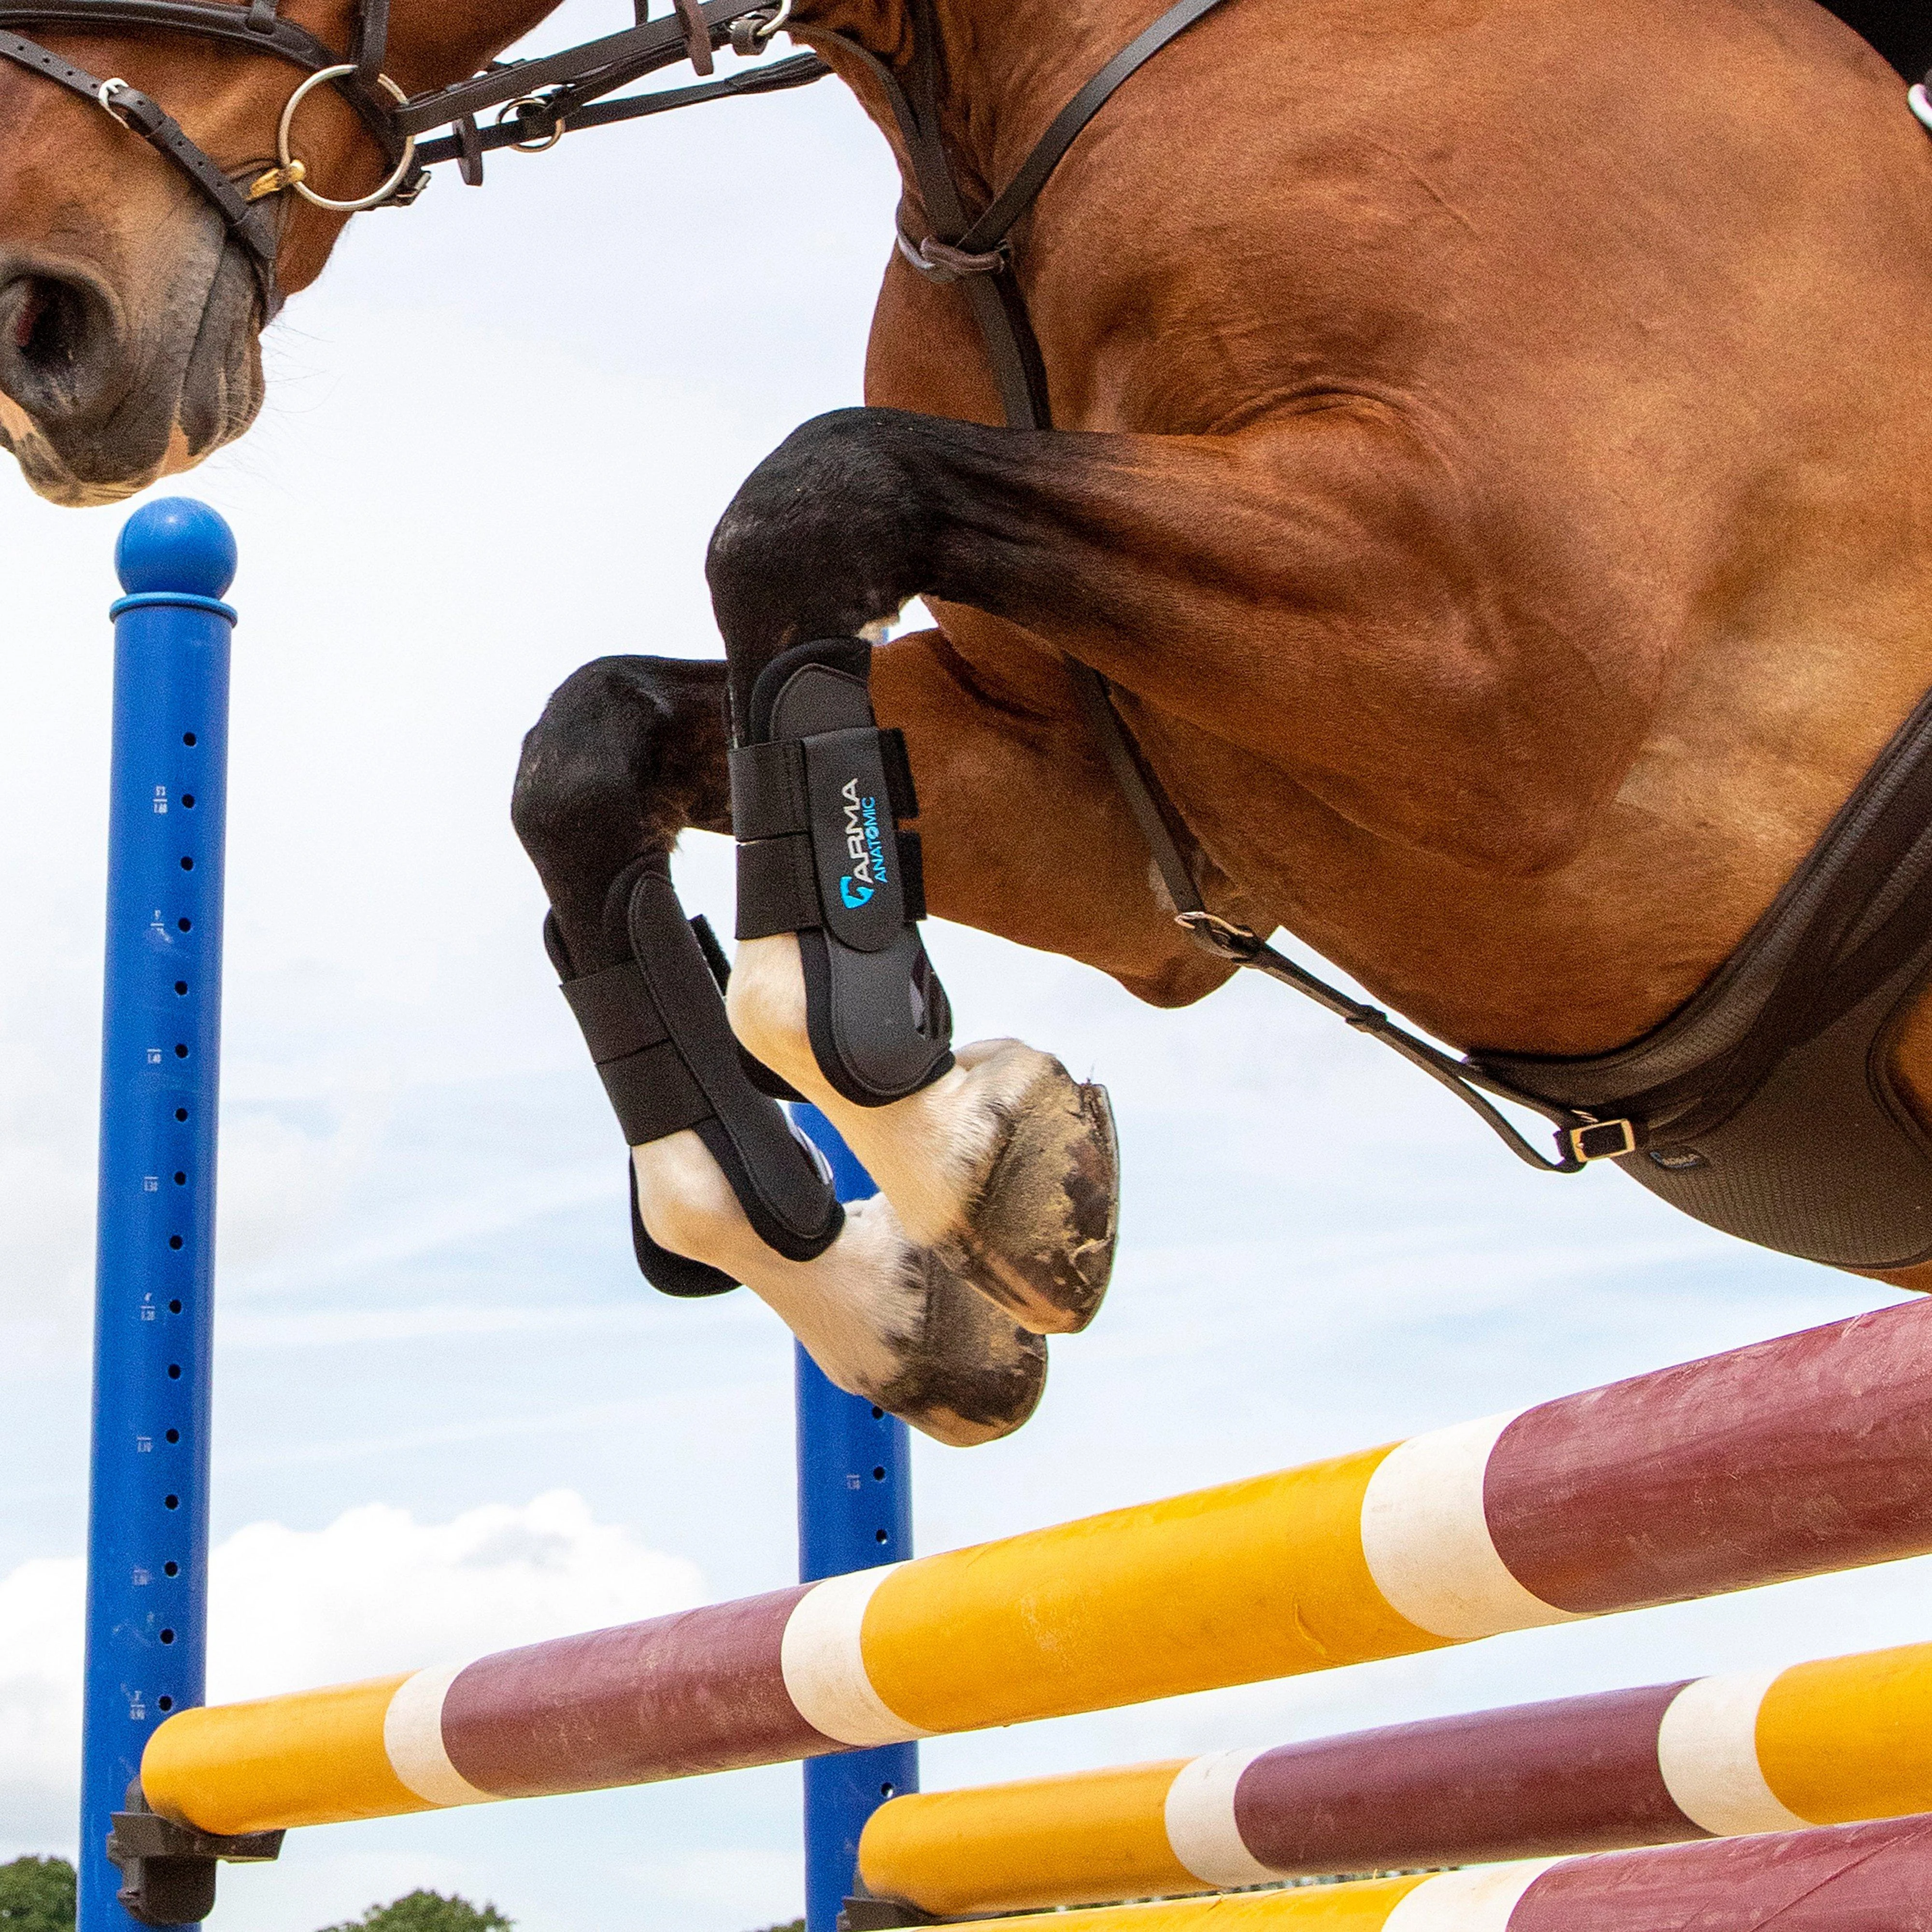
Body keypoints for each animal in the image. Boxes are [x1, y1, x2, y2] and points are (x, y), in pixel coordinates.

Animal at [7, 0, 1932, 1446]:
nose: (38, 322)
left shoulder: (1509, 662)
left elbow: (802, 506)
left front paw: (963, 1147)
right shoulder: (1118, 807)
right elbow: (592, 754)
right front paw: (896, 1273)